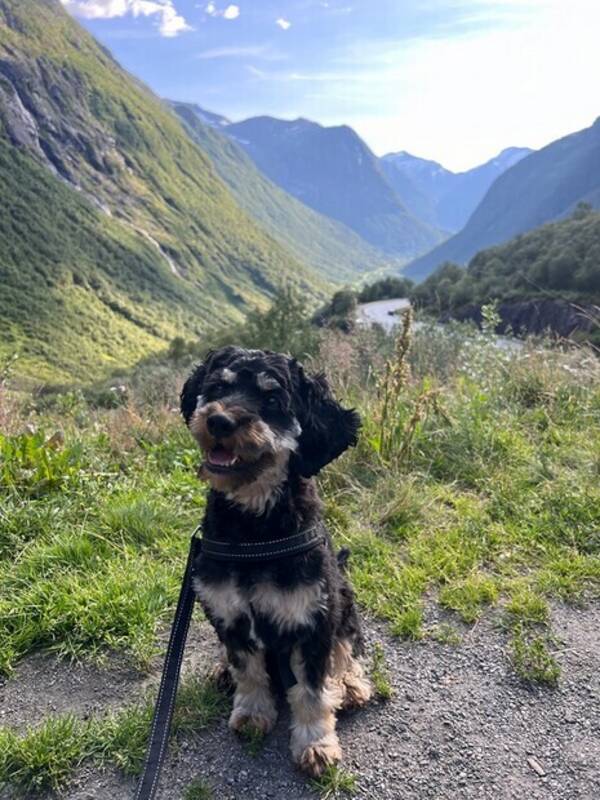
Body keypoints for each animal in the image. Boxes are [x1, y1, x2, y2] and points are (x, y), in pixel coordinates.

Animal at [179, 346, 370, 780]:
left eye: (271, 401)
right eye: (217, 387)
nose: (218, 420)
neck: (254, 530)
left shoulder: (313, 620)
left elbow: (312, 691)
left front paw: (316, 744)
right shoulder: (230, 615)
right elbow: (248, 670)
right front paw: (252, 712)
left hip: (343, 598)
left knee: (348, 647)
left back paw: (350, 684)